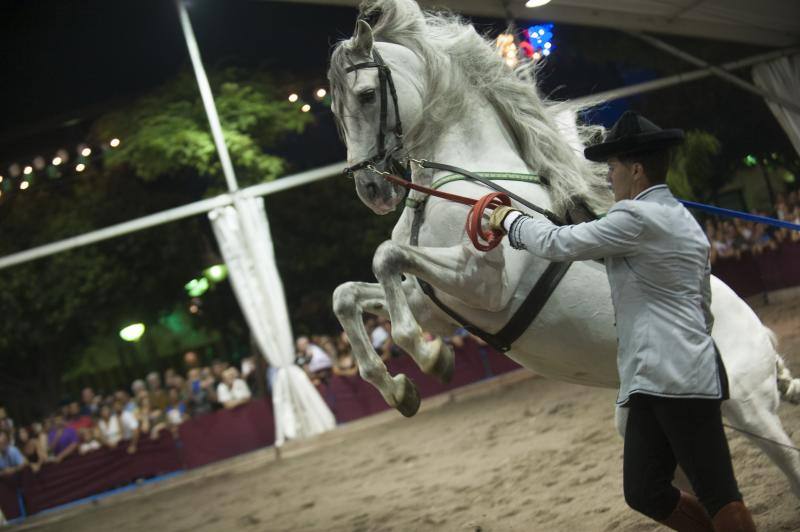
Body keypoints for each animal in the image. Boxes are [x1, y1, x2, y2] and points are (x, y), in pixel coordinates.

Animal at [326, 0, 800, 496]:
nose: (371, 189)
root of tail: (763, 338)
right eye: (335, 110)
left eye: (366, 95)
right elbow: (347, 295)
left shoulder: (483, 284)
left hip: (751, 411)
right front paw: (399, 388)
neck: (464, 182)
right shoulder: (432, 302)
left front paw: (431, 357)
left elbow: (385, 257)